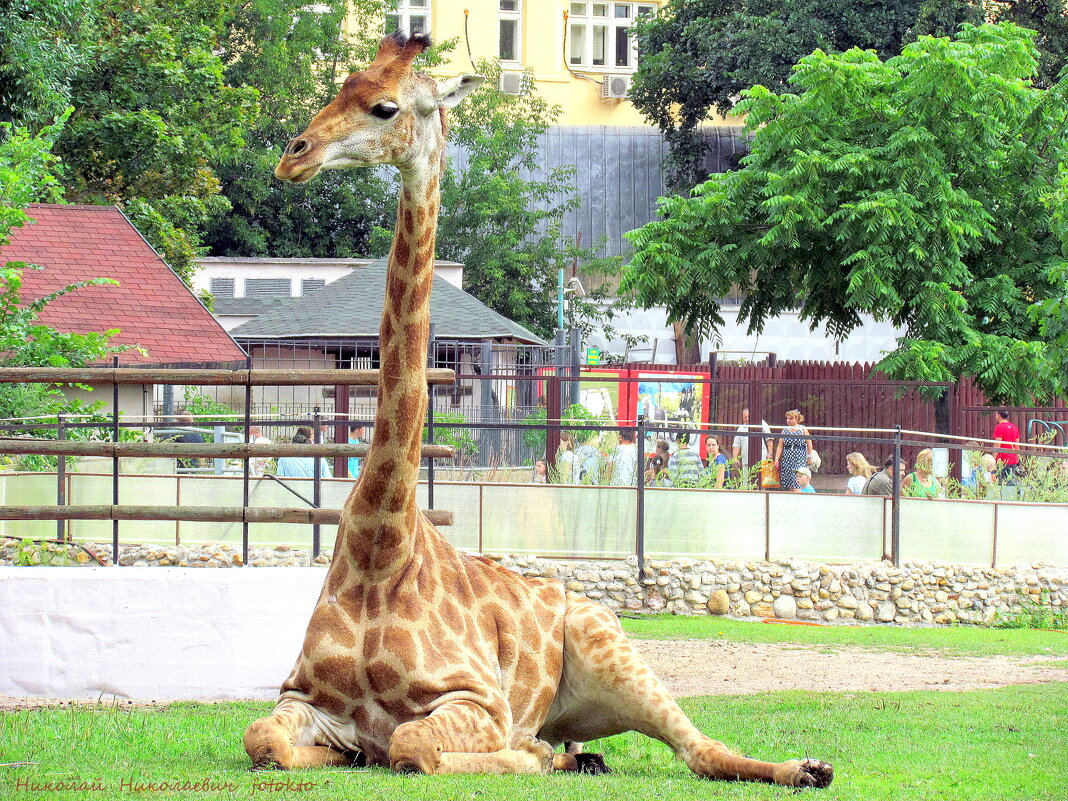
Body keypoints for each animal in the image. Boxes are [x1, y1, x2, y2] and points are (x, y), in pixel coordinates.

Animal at [244, 32, 833, 790]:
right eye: (341, 84)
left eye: (385, 106)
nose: (295, 154)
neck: (381, 546)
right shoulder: (301, 695)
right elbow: (266, 737)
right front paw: (339, 752)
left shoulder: (478, 700)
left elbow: (413, 745)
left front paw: (521, 755)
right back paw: (582, 752)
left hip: (610, 643)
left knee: (697, 750)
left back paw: (805, 767)